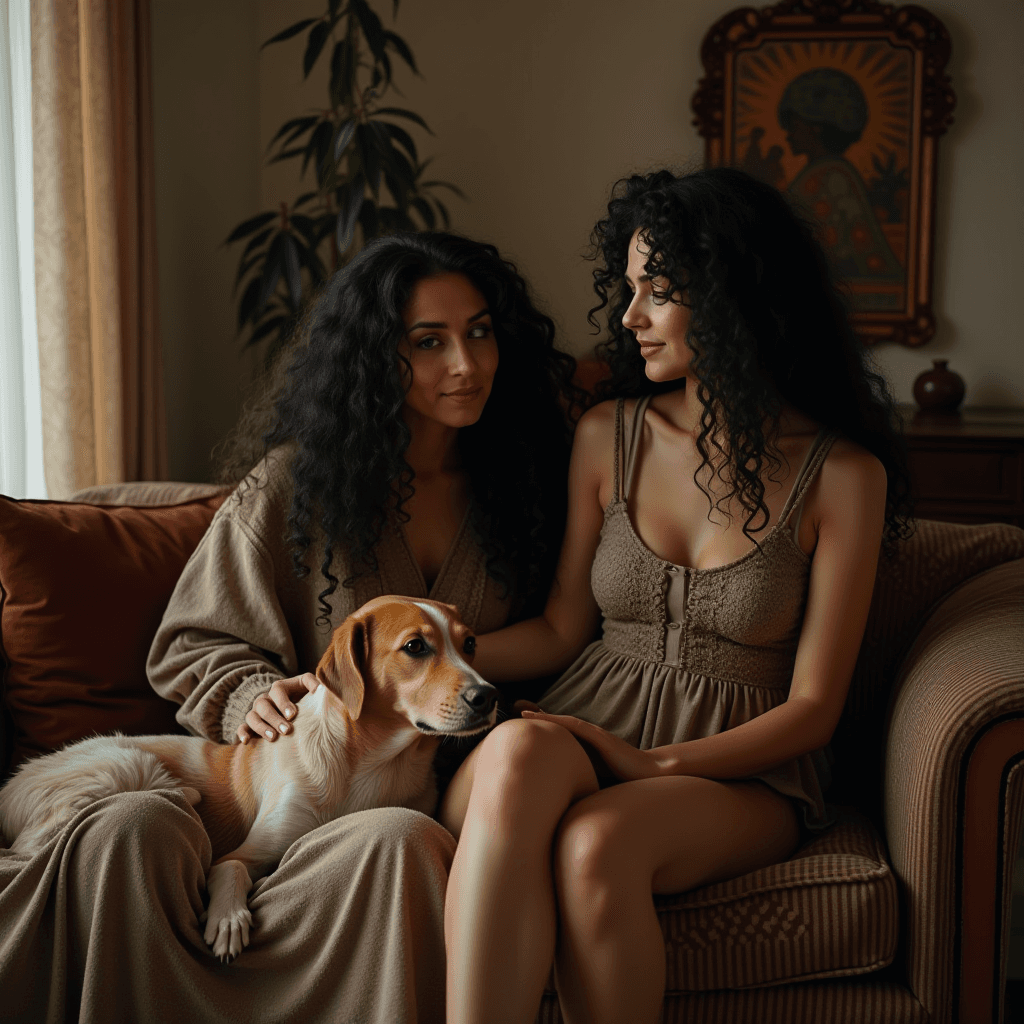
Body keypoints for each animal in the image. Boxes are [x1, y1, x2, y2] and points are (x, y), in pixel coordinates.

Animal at [0, 598, 495, 962]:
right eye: (415, 647)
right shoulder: (244, 854)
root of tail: (11, 785)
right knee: (35, 843)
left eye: (470, 643)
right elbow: (231, 867)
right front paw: (228, 919)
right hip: (127, 765)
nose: (488, 696)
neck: (373, 763)